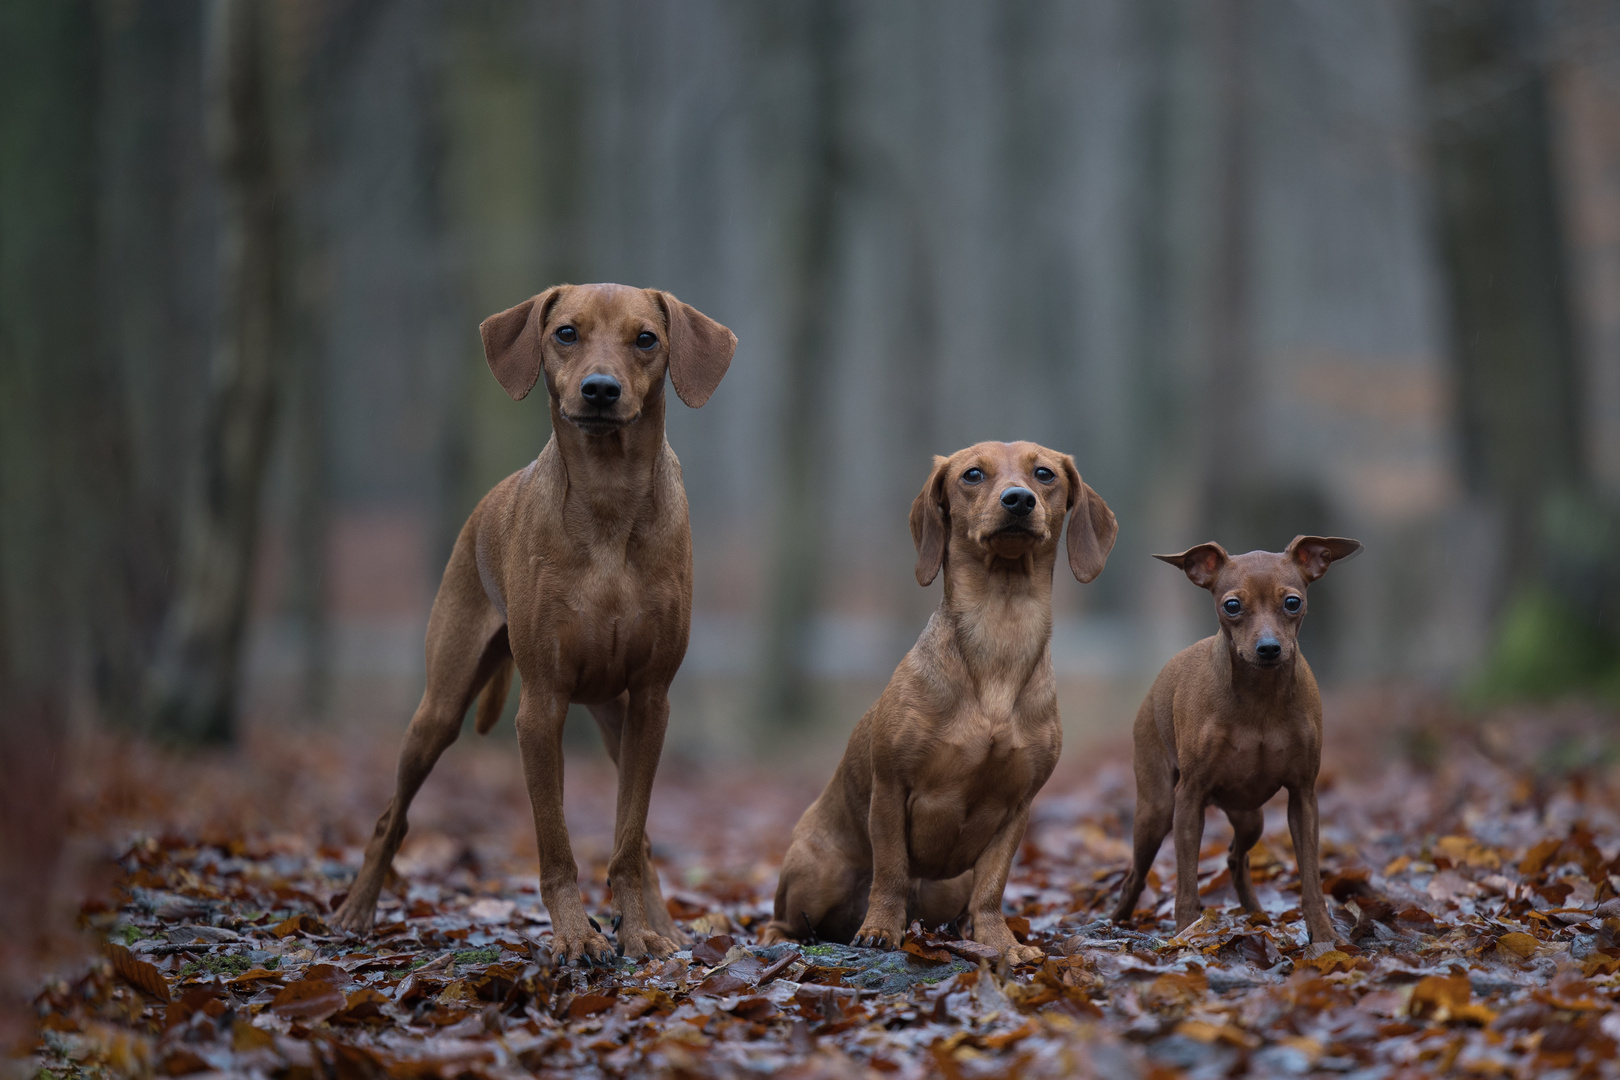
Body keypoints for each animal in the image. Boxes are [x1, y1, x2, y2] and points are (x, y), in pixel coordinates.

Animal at [335, 281, 741, 965]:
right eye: (566, 333)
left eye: (646, 339)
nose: (600, 389)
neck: (608, 501)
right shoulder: (542, 706)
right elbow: (554, 845)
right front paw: (576, 935)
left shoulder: (651, 701)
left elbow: (628, 840)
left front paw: (638, 933)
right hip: (440, 707)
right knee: (392, 815)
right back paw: (357, 911)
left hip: (615, 718)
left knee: (643, 841)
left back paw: (664, 925)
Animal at [754, 443, 1114, 965]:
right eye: (972, 474)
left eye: (1045, 474)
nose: (1018, 500)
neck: (1001, 635)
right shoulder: (890, 788)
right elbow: (890, 871)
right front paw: (880, 930)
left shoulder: (1017, 807)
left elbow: (992, 889)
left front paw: (1000, 944)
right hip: (818, 873)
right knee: (787, 920)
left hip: (949, 886)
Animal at [1108, 540, 1360, 945]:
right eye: (1232, 606)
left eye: (1293, 602)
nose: (1269, 648)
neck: (1261, 699)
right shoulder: (1189, 799)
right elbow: (1186, 885)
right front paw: (1186, 935)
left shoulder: (1303, 797)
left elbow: (1310, 880)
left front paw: (1323, 935)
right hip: (1157, 811)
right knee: (1135, 875)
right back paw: (1115, 922)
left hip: (1250, 817)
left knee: (1234, 857)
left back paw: (1256, 914)